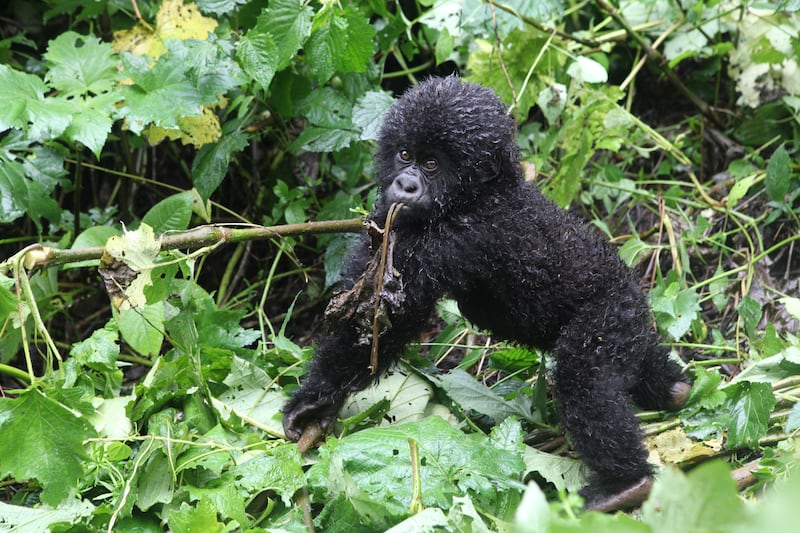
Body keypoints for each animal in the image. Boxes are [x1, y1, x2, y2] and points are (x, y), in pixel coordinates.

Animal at [284, 76, 692, 512]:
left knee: (586, 380)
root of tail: (632, 289)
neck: (484, 193)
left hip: (612, 312)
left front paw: (315, 398)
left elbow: (389, 321)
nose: (405, 183)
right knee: (634, 364)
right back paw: (672, 389)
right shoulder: (388, 218)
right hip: (632, 323)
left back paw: (625, 483)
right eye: (404, 154)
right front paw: (320, 402)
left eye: (432, 164)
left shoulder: (456, 239)